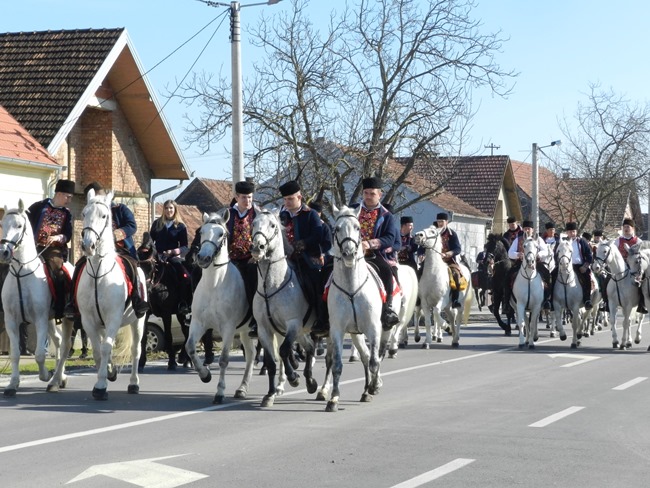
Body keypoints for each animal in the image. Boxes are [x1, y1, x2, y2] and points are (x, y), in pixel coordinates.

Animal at [0, 202, 71, 396]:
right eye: (2, 224)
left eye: (19, 225)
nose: (4, 252)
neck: (21, 273)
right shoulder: (11, 321)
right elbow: (15, 354)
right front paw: (12, 384)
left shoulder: (39, 319)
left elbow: (39, 354)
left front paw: (45, 375)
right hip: (51, 320)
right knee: (60, 342)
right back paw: (59, 378)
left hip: (66, 319)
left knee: (65, 346)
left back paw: (55, 380)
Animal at [77, 189, 146, 398]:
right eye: (84, 213)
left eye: (104, 216)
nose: (88, 245)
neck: (98, 273)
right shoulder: (88, 321)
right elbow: (98, 350)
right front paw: (107, 374)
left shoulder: (113, 318)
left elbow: (106, 347)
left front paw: (100, 386)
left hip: (138, 321)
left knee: (136, 350)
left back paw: (134, 383)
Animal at [185, 210, 256, 404]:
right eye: (201, 232)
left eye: (221, 234)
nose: (202, 258)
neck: (214, 284)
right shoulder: (198, 323)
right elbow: (190, 348)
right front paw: (205, 375)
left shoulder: (228, 328)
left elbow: (224, 359)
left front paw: (220, 392)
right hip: (245, 331)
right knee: (251, 354)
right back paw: (242, 388)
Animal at [249, 208, 318, 406]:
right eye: (254, 223)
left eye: (273, 225)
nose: (257, 248)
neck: (272, 285)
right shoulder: (264, 329)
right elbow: (272, 361)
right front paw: (270, 394)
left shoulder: (292, 324)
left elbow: (284, 350)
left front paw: (293, 377)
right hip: (302, 331)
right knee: (310, 348)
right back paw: (310, 381)